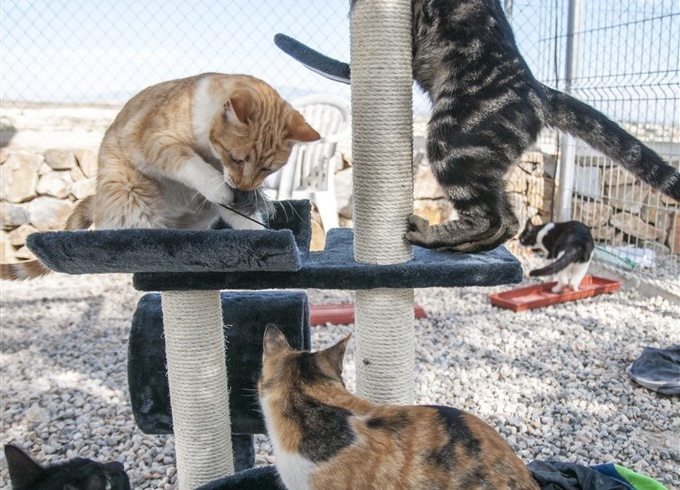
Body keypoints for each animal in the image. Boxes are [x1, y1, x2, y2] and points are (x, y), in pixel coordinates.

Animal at [1, 73, 320, 280]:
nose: (243, 184)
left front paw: (268, 240)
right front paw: (216, 183)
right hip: (130, 193)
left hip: (199, 213)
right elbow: (191, 165)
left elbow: (245, 219)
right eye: (237, 158)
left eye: (268, 169)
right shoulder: (157, 142)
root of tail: (99, 199)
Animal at [286, 1, 680, 253]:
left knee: (490, 217)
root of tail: (538, 90)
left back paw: (432, 236)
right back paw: (462, 248)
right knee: (509, 219)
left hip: (450, 143)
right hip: (484, 165)